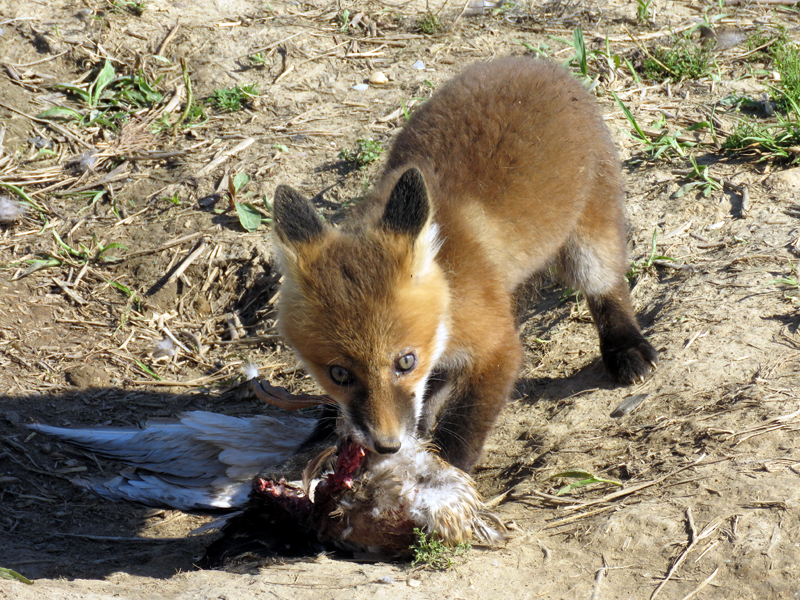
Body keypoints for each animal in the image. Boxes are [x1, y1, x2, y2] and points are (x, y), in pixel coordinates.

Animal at [268, 57, 656, 474]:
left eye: (406, 361)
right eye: (338, 373)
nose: (387, 445)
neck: (449, 297)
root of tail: (535, 63)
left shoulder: (497, 345)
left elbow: (464, 425)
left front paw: (449, 474)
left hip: (590, 243)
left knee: (607, 287)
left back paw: (626, 346)